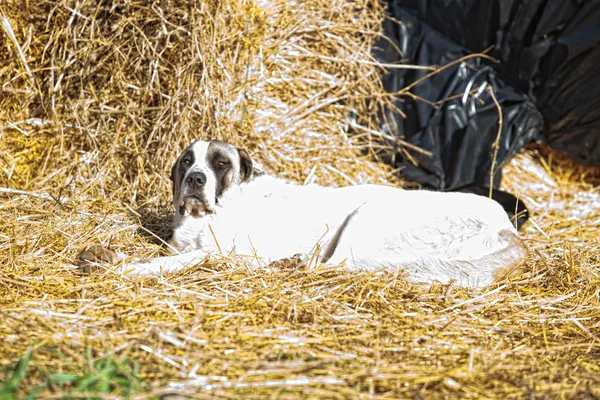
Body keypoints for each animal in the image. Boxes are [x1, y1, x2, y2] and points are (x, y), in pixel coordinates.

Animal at [77, 140, 528, 288]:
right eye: (187, 161)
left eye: (220, 163)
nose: (195, 179)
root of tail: (509, 230)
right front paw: (105, 255)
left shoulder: (221, 253)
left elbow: (168, 263)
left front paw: (126, 268)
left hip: (366, 216)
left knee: (336, 268)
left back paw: (293, 264)